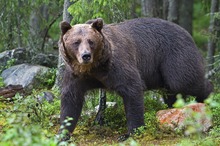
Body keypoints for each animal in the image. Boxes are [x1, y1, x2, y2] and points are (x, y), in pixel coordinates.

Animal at [58, 17, 213, 141]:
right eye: (76, 42)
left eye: (91, 41)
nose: (86, 56)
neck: (94, 68)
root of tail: (187, 33)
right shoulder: (76, 75)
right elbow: (71, 100)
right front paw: (62, 135)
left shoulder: (117, 66)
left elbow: (132, 90)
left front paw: (130, 133)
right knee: (172, 91)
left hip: (175, 56)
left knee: (183, 81)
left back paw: (209, 98)